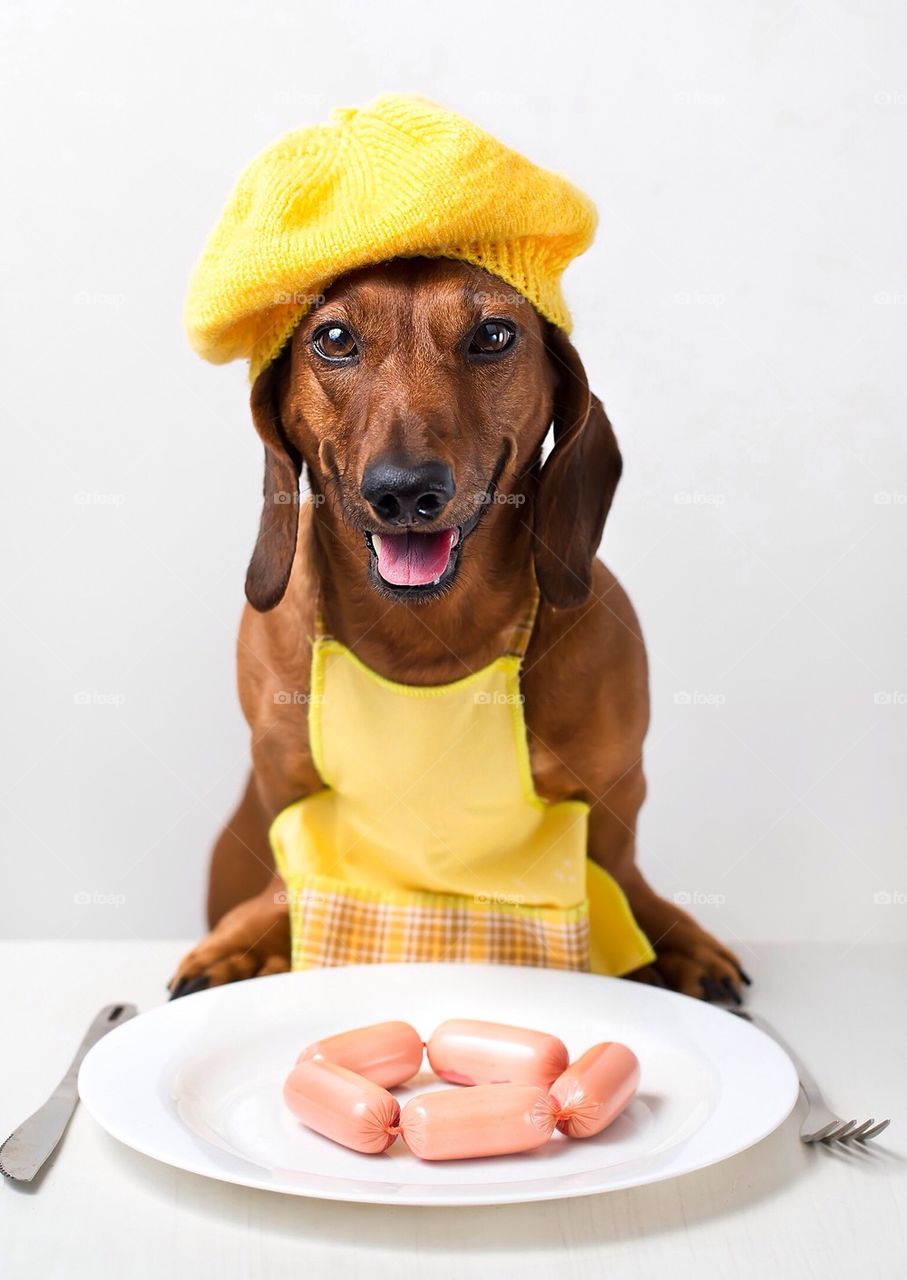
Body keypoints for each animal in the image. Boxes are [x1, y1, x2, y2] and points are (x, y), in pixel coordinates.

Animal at [166, 254, 747, 1003]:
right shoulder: (281, 775)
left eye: (493, 335)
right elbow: (285, 867)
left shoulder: (616, 788)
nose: (405, 491)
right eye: (333, 338)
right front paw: (252, 940)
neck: (427, 638)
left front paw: (658, 942)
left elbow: (615, 871)